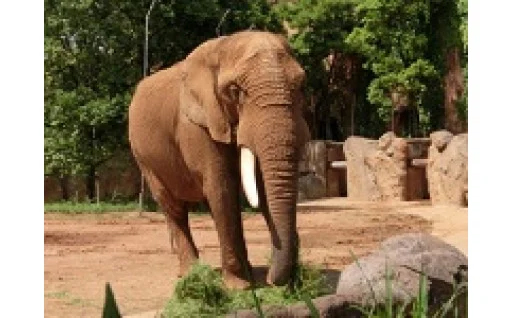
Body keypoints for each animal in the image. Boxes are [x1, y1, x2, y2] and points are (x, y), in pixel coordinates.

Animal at [128, 31, 310, 290]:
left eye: (301, 85)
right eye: (235, 90)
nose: (273, 281)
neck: (222, 46)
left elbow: (260, 188)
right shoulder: (197, 124)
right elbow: (221, 188)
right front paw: (239, 287)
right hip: (143, 156)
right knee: (173, 206)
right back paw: (192, 274)